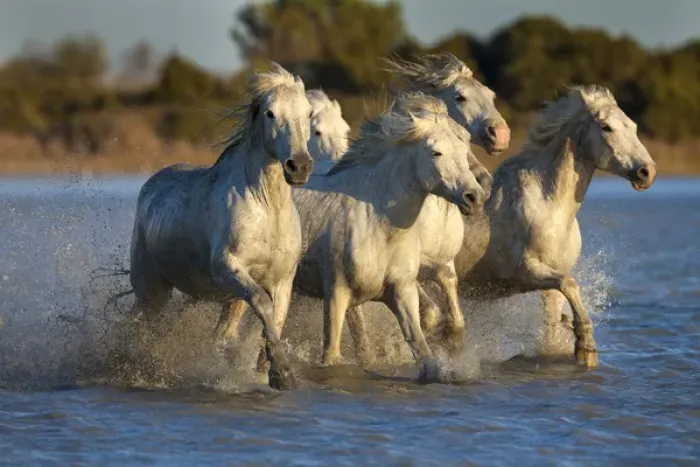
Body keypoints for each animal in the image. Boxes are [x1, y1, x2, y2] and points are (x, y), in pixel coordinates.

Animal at [127, 62, 315, 390]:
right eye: (270, 113)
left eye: (308, 113)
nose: (299, 166)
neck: (267, 208)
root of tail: (150, 186)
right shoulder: (228, 267)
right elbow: (262, 303)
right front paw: (282, 373)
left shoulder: (282, 279)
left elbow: (273, 320)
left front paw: (270, 371)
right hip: (151, 289)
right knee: (140, 325)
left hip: (207, 296)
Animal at [290, 93, 486, 380]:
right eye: (436, 152)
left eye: (465, 149)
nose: (475, 197)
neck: (379, 222)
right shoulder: (336, 293)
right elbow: (332, 356)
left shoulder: (404, 289)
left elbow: (424, 350)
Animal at [452, 85, 658, 368]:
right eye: (606, 127)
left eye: (633, 127)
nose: (647, 172)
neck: (550, 206)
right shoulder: (526, 270)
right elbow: (570, 284)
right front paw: (585, 346)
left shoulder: (553, 280)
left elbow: (554, 317)